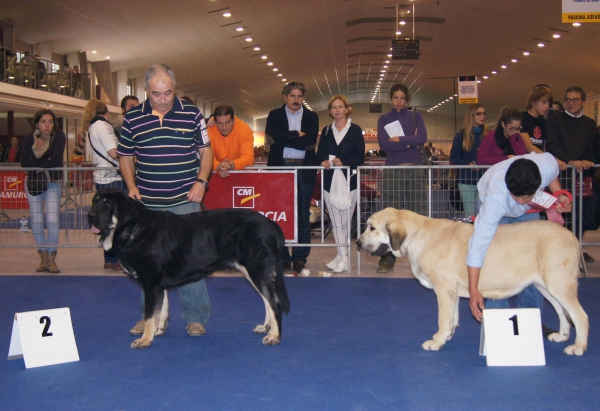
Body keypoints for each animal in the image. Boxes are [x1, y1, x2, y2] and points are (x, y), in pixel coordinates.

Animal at [87, 189, 290, 348]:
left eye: (107, 204)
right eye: (94, 201)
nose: (90, 216)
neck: (134, 229)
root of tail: (272, 224)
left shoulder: (152, 284)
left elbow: (150, 315)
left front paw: (145, 339)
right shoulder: (158, 285)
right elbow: (162, 310)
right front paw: (158, 331)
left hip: (258, 269)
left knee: (275, 303)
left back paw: (274, 336)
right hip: (252, 271)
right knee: (267, 300)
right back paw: (266, 328)